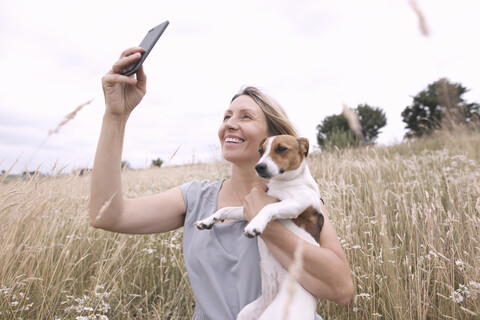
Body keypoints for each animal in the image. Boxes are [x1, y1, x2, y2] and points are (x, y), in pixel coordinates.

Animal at [193, 135, 324, 320]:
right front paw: (207, 220)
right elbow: (225, 210)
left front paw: (255, 225)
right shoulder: (246, 209)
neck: (284, 183)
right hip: (246, 313)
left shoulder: (296, 204)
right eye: (260, 151)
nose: (259, 166)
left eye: (281, 149)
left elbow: (268, 207)